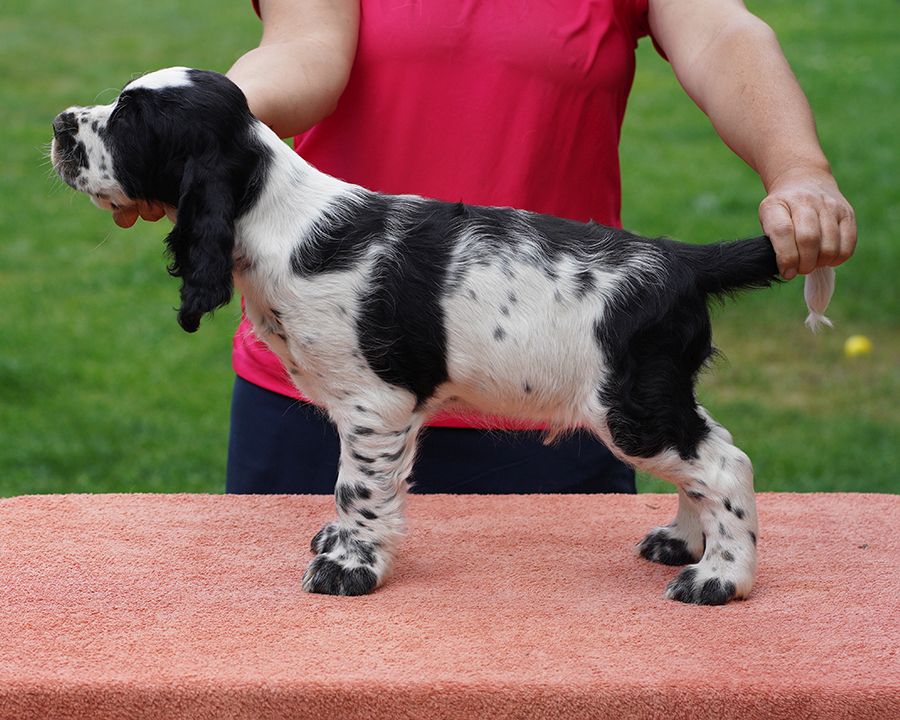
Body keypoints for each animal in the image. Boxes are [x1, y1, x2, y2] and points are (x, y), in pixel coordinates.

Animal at [52, 69, 832, 608]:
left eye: (129, 120)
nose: (60, 122)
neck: (275, 216)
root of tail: (682, 260)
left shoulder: (375, 405)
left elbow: (357, 488)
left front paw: (350, 567)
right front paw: (342, 544)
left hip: (630, 406)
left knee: (725, 463)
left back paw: (720, 578)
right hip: (655, 393)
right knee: (707, 454)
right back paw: (684, 543)